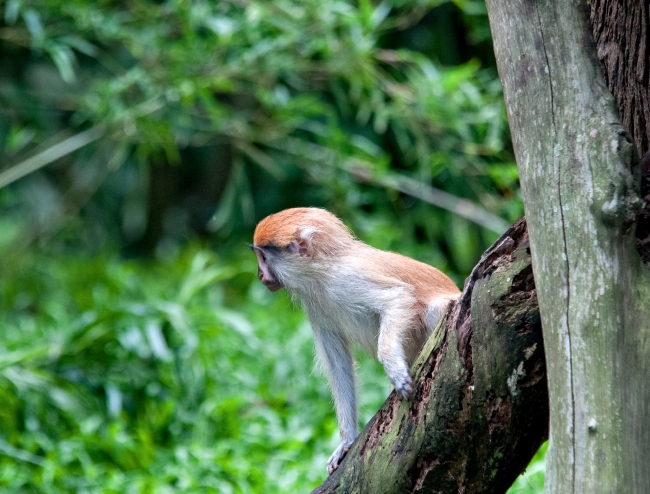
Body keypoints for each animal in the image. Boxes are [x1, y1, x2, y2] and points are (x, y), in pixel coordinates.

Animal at [251, 206, 458, 472]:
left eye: (264, 259)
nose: (260, 274)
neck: (322, 270)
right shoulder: (316, 307)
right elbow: (338, 364)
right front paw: (346, 441)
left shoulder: (347, 279)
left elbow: (398, 299)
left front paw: (395, 370)